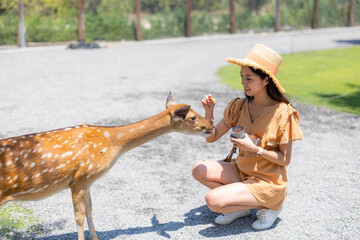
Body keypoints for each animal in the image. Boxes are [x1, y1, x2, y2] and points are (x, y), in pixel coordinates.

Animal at [0, 92, 214, 240]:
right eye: (193, 117)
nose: (211, 126)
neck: (111, 143)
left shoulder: (87, 181)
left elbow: (90, 211)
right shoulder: (80, 178)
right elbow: (78, 217)